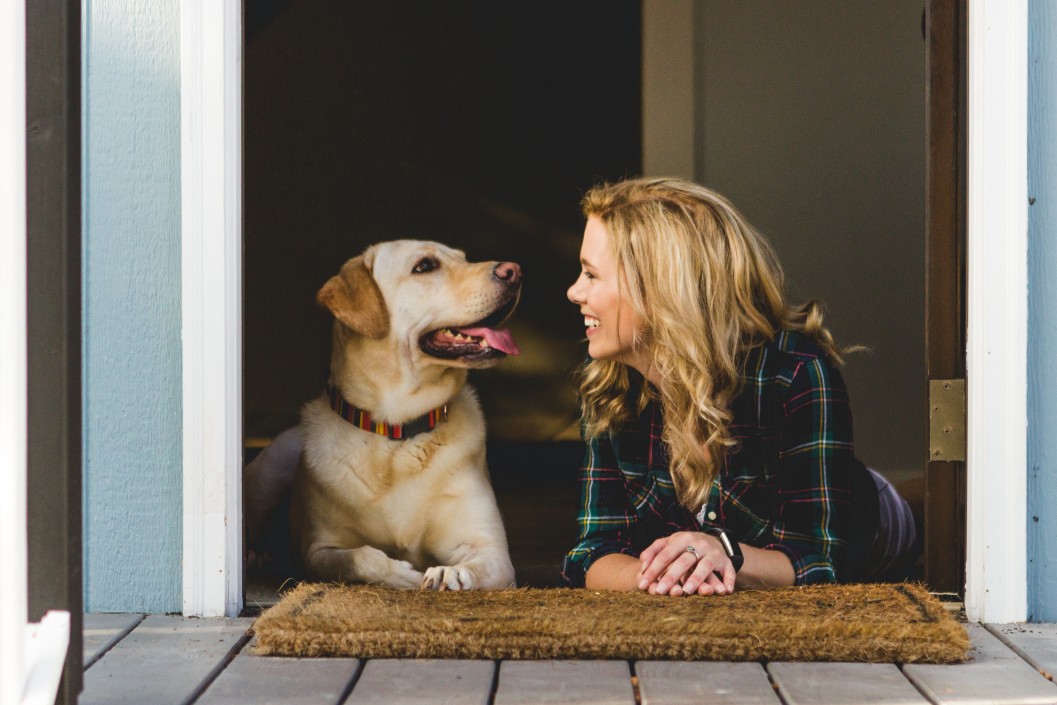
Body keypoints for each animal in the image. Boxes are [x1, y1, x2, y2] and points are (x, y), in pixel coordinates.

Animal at [243, 240, 515, 591]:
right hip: (269, 473)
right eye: (425, 266)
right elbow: (360, 558)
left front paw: (451, 573)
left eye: (465, 259)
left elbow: (476, 563)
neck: (396, 435)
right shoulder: (318, 550)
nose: (513, 271)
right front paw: (402, 575)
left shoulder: (491, 550)